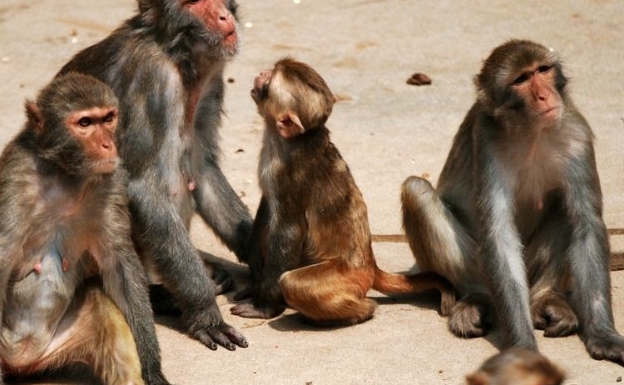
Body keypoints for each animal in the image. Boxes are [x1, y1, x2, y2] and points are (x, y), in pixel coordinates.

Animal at [0, 73, 169, 384]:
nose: (108, 145)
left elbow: (120, 266)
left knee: (99, 300)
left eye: (108, 118)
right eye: (85, 123)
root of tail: (22, 362)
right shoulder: (16, 178)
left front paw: (152, 367)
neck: (65, 173)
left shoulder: (111, 180)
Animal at [58, 0, 249, 350]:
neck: (177, 57)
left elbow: (202, 169)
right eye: (193, 4)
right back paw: (166, 295)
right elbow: (143, 187)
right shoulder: (151, 80)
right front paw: (206, 312)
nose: (223, 15)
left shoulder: (211, 82)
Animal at [232, 57, 456, 324]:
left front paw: (264, 305)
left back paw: (362, 310)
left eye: (269, 80)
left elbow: (288, 232)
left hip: (349, 277)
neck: (292, 140)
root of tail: (370, 265)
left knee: (293, 283)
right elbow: (267, 207)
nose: (261, 72)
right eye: (268, 72)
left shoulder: (287, 174)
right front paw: (254, 275)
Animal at [402, 39, 620, 364]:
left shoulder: (577, 135)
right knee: (416, 190)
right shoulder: (487, 142)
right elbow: (499, 234)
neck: (532, 132)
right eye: (521, 80)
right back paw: (477, 299)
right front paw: (523, 347)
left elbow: (586, 224)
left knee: (563, 207)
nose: (544, 95)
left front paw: (603, 335)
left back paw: (544, 297)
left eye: (543, 70)